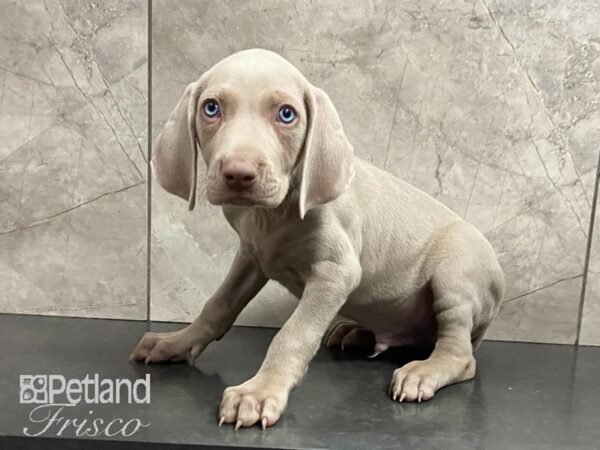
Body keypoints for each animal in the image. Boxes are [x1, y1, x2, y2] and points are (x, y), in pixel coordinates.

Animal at [132, 48, 506, 428]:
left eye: (286, 114)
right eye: (211, 108)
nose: (239, 173)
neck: (270, 216)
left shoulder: (335, 272)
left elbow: (293, 334)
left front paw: (259, 392)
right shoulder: (252, 257)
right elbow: (218, 304)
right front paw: (177, 342)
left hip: (456, 272)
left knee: (460, 354)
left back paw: (423, 372)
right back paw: (355, 332)